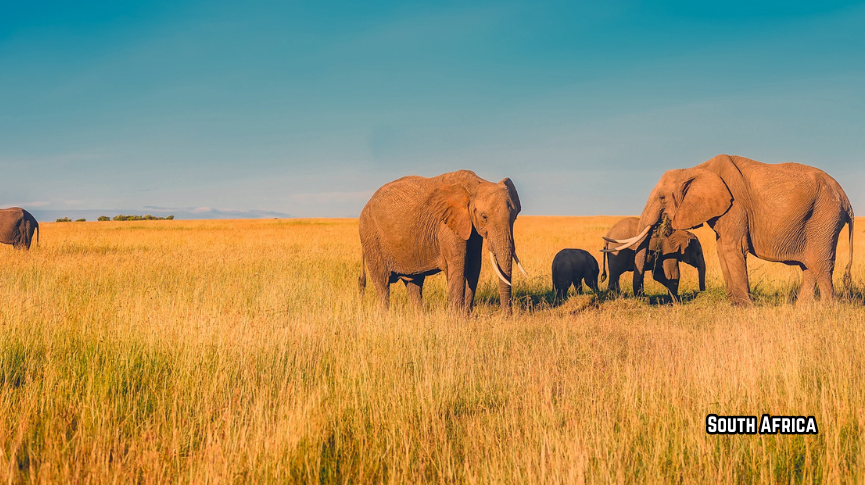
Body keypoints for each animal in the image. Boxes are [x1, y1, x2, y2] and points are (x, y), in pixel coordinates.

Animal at [358, 170, 528, 314]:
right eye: (484, 217)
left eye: (515, 217)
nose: (507, 316)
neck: (475, 183)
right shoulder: (447, 226)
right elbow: (458, 266)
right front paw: (456, 319)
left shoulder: (470, 227)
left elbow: (474, 266)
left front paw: (466, 316)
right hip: (371, 236)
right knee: (382, 283)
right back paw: (384, 315)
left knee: (414, 283)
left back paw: (419, 316)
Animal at [600, 155, 852, 304]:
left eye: (662, 198)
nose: (641, 297)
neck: (696, 169)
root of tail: (845, 199)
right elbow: (722, 248)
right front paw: (734, 303)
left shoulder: (735, 204)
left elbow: (732, 248)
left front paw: (745, 307)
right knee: (808, 266)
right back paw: (802, 309)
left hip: (824, 217)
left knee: (820, 264)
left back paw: (827, 310)